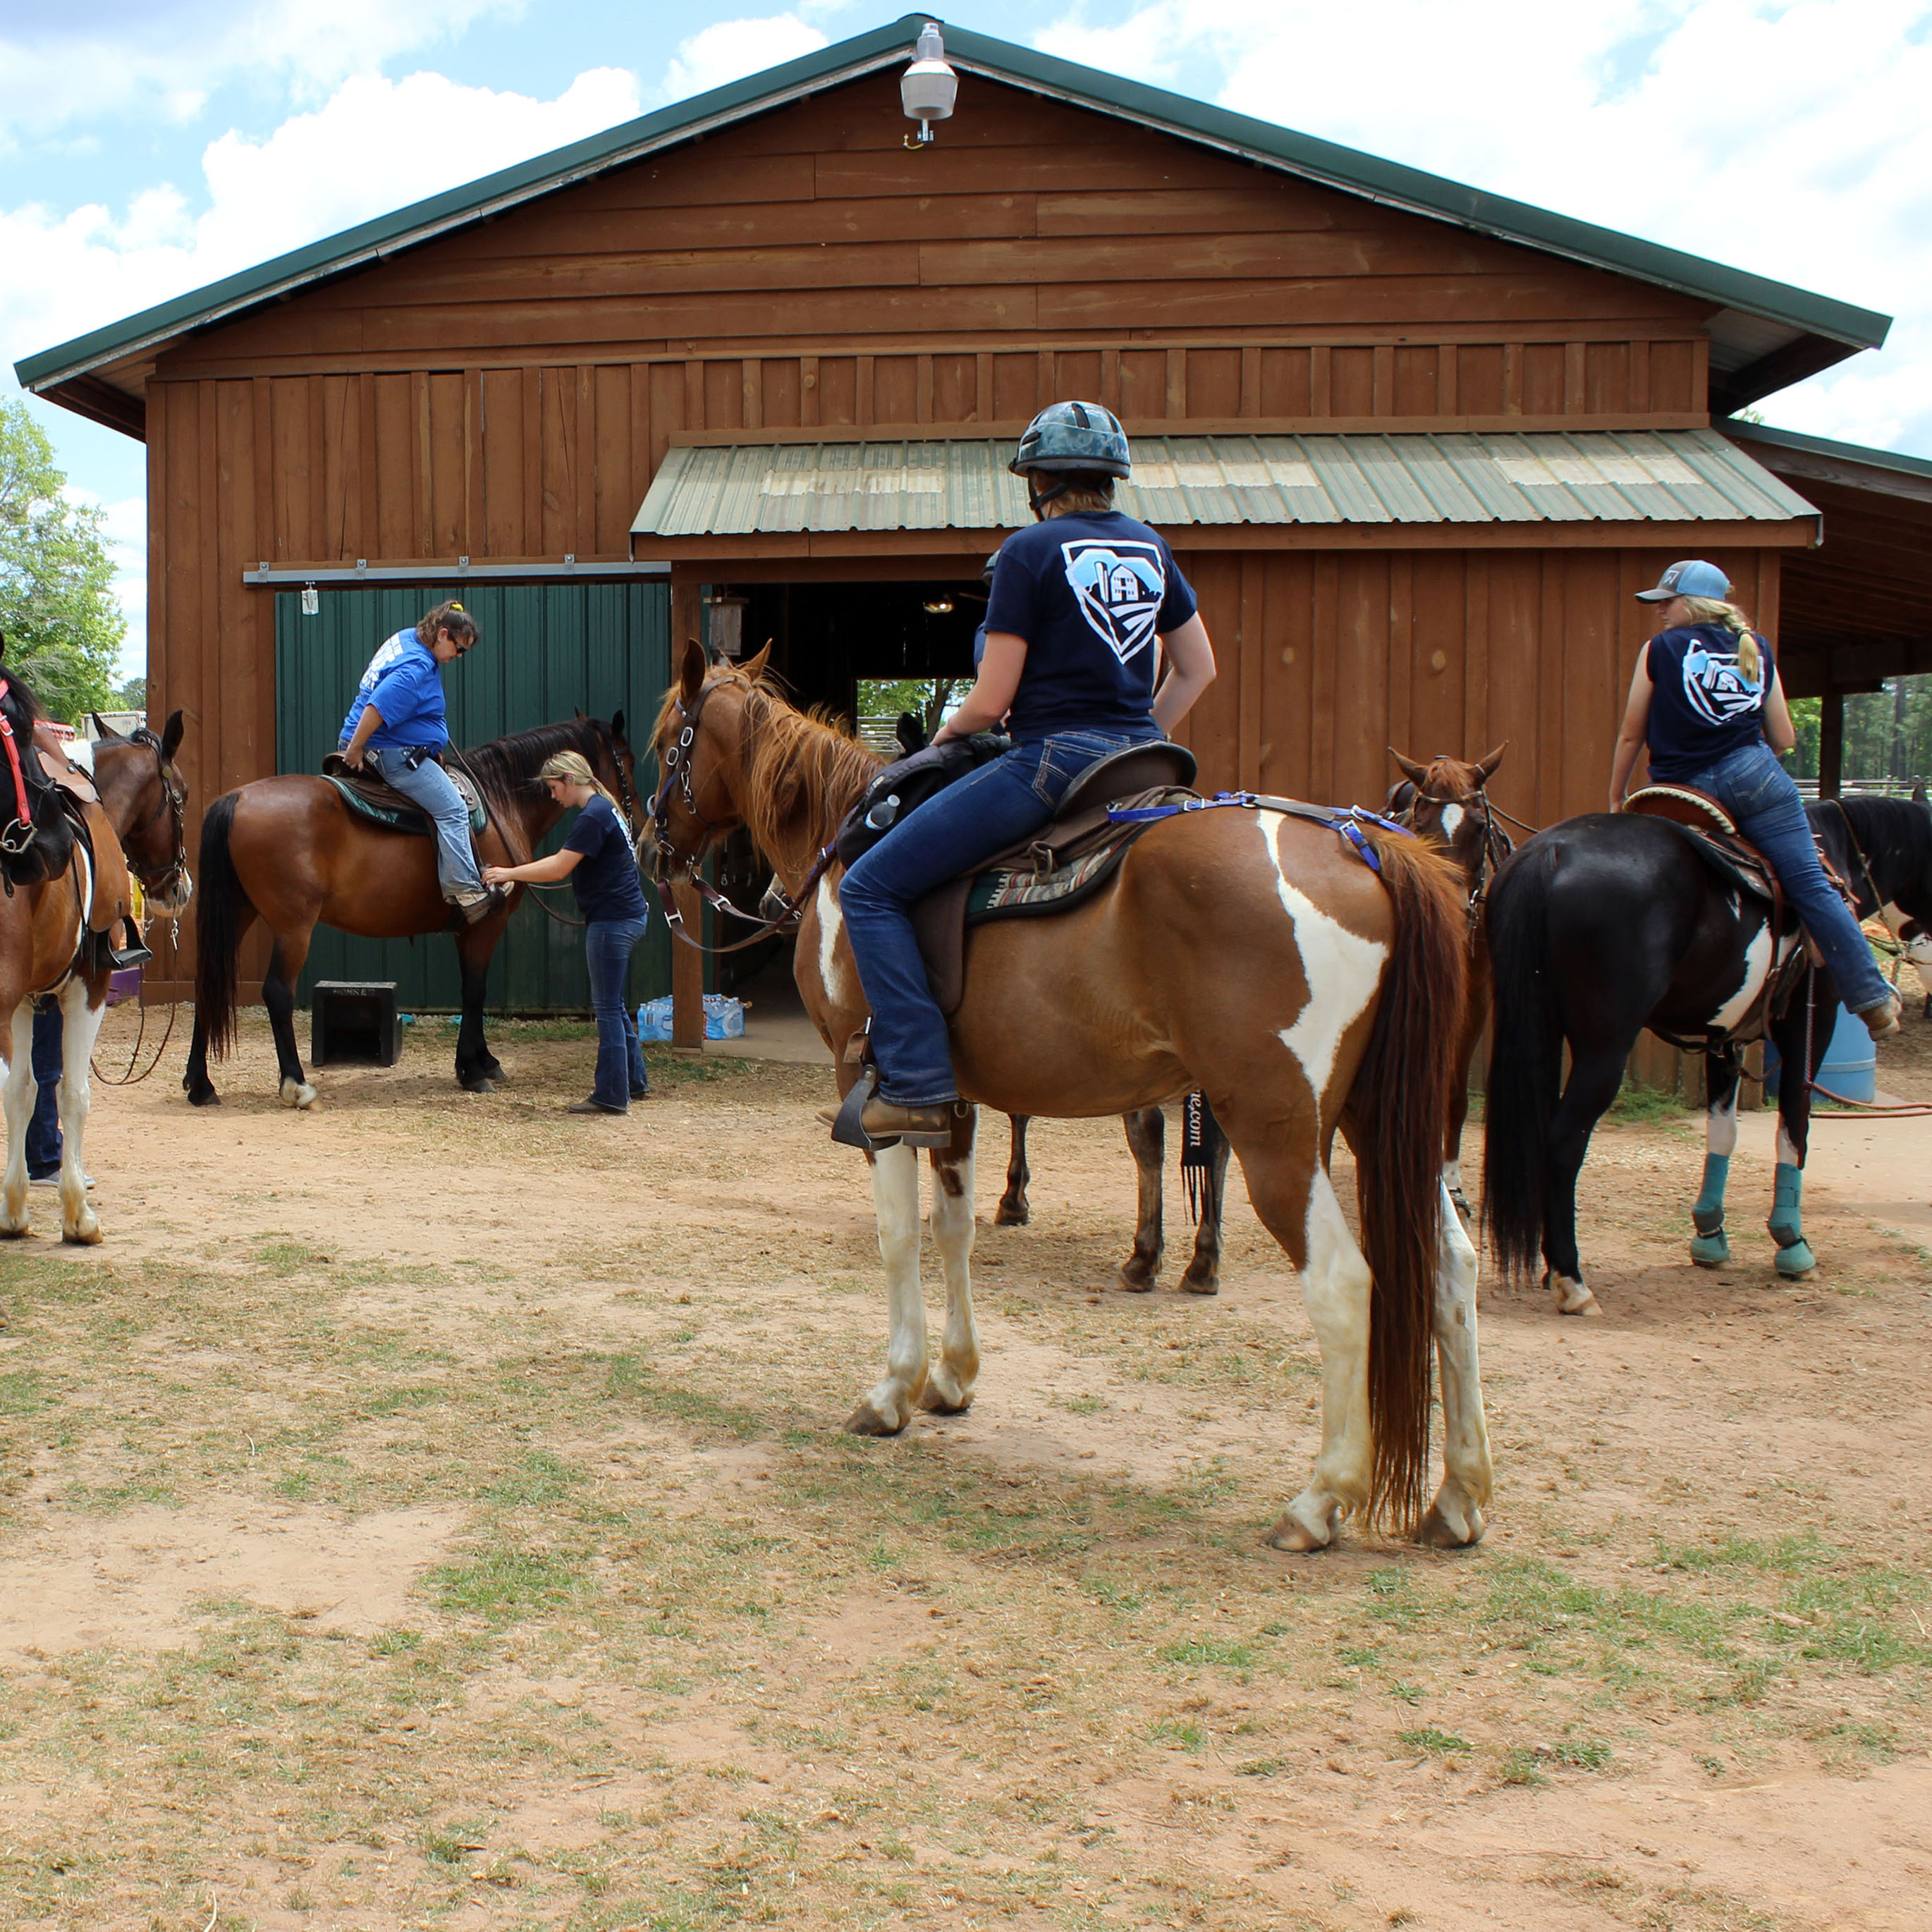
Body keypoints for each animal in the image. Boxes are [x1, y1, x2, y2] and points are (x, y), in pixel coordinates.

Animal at [181, 711, 637, 1113]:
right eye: (628, 763)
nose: (630, 813)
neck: (499, 801)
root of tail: (237, 796)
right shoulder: (485, 925)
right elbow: (475, 992)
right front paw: (473, 1070)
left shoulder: (465, 931)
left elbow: (471, 991)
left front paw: (484, 1061)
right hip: (293, 926)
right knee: (278, 992)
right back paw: (297, 1085)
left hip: (239, 914)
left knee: (209, 982)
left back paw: (201, 1085)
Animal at [649, 649, 1491, 1553]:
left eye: (666, 746)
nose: (649, 844)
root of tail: (1367, 848)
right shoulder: (946, 1099)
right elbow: (953, 1230)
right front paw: (953, 1377)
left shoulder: (865, 1086)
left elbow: (898, 1237)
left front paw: (893, 1390)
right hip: (1389, 1130)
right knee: (1452, 1269)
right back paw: (1457, 1495)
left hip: (1282, 1133)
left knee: (1340, 1282)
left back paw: (1319, 1499)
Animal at [1484, 788, 1924, 1314]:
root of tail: (1550, 853)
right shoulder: (1810, 1023)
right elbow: (1794, 1128)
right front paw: (1792, 1243)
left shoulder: (1723, 1037)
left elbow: (1723, 1133)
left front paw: (1711, 1237)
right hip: (1603, 1050)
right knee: (1565, 1141)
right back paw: (1573, 1281)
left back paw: (1554, 1269)